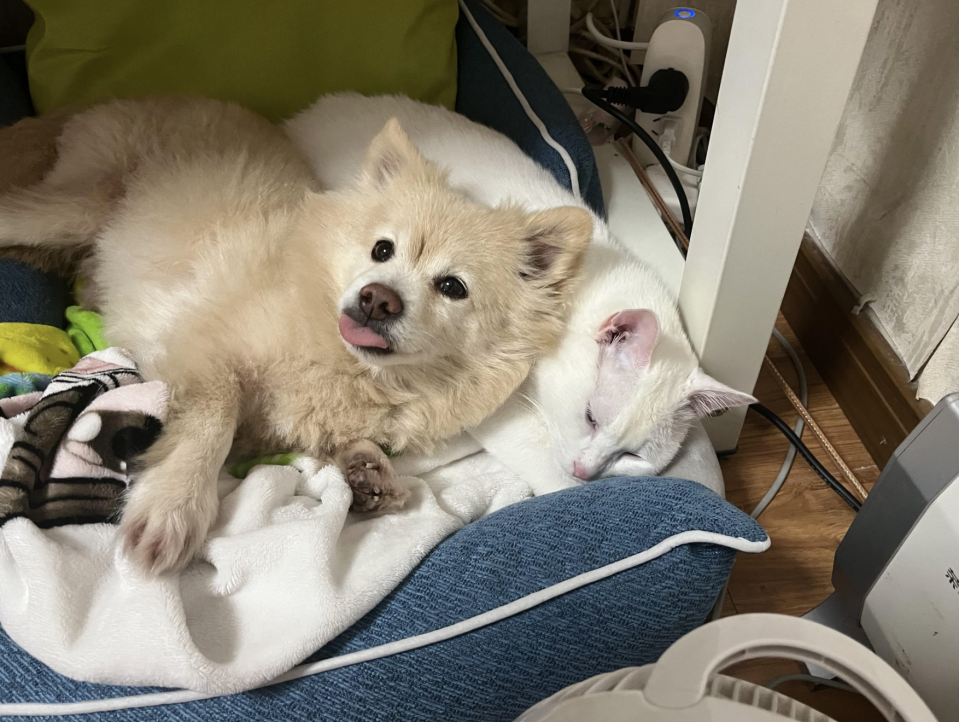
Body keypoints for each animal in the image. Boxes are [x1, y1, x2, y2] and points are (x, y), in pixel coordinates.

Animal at [0, 98, 592, 572]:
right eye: (382, 250)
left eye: (452, 287)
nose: (377, 297)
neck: (351, 366)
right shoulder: (202, 352)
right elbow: (211, 423)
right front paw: (173, 507)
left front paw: (368, 472)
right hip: (77, 205)